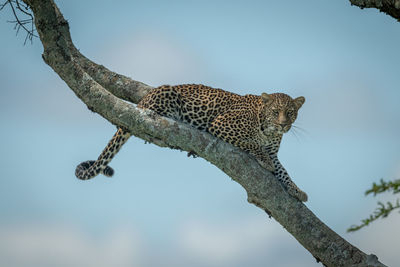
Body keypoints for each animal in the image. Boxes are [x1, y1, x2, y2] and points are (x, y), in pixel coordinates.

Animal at [74, 85, 306, 202]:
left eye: (290, 112)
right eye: (275, 112)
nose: (284, 124)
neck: (269, 131)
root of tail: (143, 99)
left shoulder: (274, 152)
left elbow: (283, 171)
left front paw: (296, 190)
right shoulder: (220, 125)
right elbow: (252, 144)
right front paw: (264, 161)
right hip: (164, 96)